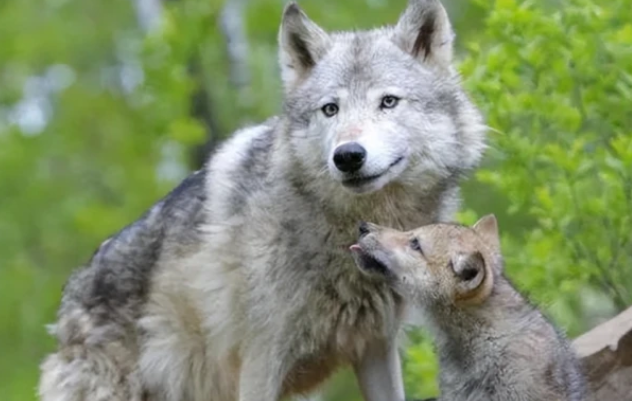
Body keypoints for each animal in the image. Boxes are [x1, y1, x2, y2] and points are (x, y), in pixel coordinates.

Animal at [37, 0, 486, 400]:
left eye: (388, 101)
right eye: (330, 109)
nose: (347, 156)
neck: (341, 232)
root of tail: (68, 301)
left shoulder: (375, 346)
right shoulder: (260, 361)